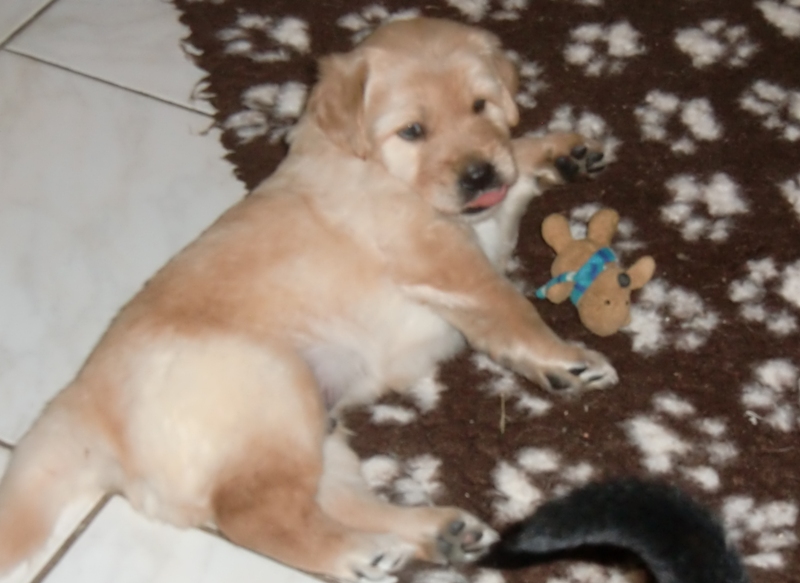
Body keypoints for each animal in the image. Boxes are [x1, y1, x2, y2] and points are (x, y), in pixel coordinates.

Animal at [0, 17, 616, 582]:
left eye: (481, 105)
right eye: (413, 130)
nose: (478, 174)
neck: (378, 168)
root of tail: (83, 400)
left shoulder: (481, 223)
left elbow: (515, 166)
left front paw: (562, 150)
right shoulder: (444, 261)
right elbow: (511, 307)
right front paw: (568, 359)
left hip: (318, 425)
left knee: (335, 499)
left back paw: (438, 532)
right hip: (274, 393)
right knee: (258, 515)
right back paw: (358, 553)